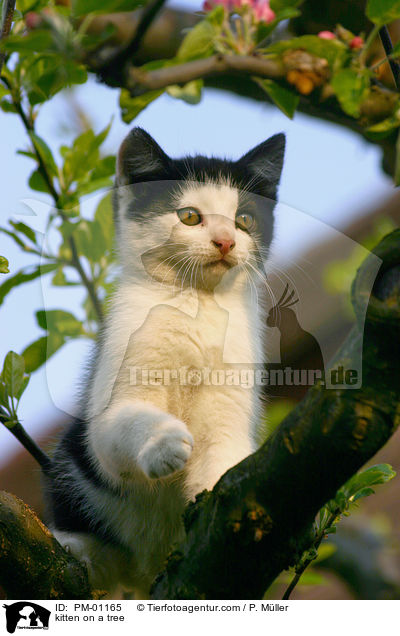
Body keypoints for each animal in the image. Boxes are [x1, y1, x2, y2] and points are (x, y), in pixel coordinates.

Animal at [45, 128, 286, 596]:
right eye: (189, 216)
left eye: (244, 219)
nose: (226, 241)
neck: (196, 305)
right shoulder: (112, 394)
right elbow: (120, 425)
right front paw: (165, 442)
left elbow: (224, 454)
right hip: (72, 464)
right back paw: (79, 551)